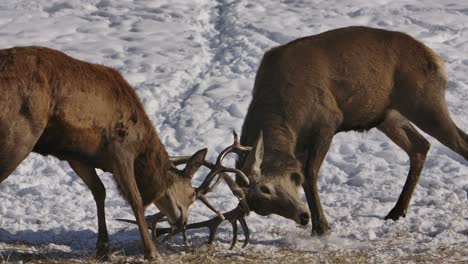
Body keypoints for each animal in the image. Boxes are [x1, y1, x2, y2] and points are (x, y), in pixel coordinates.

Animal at [0, 47, 249, 260]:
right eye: (191, 194)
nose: (183, 222)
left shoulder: (76, 154)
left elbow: (99, 191)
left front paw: (103, 249)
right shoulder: (120, 149)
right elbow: (136, 199)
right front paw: (151, 252)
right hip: (20, 133)